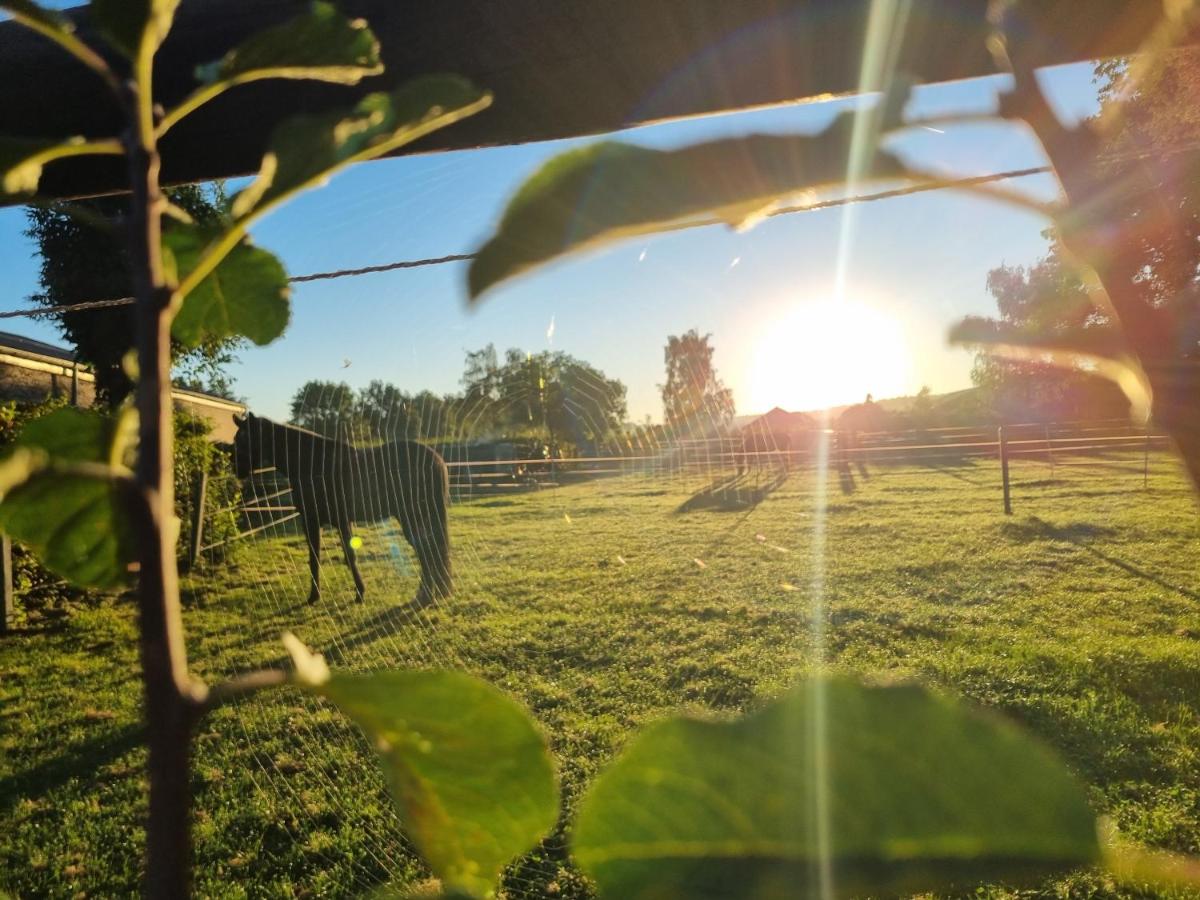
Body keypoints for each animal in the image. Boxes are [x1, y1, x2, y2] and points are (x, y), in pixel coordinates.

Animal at [231, 415, 451, 609]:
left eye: (244, 439)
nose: (235, 470)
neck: (313, 465)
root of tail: (436, 459)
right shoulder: (314, 521)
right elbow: (315, 558)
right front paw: (314, 597)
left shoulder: (334, 520)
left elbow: (348, 556)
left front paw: (359, 594)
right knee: (428, 550)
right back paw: (430, 592)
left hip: (413, 515)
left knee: (427, 549)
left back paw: (428, 594)